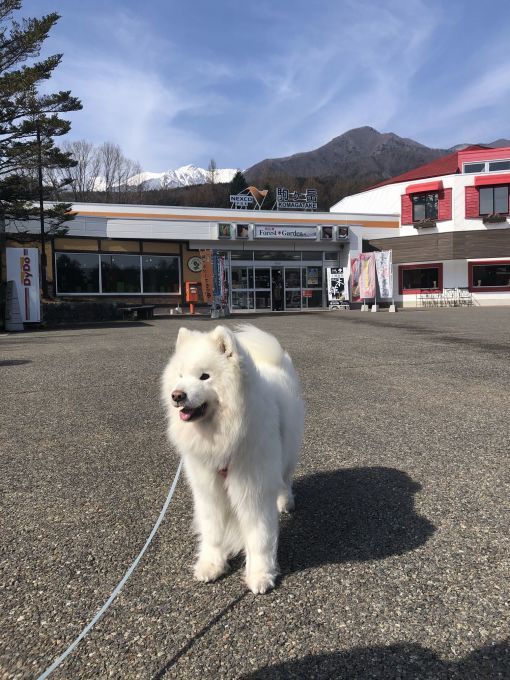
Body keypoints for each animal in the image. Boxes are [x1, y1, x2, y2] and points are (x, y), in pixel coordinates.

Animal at [162, 324, 302, 596]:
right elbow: (213, 532)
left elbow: (259, 537)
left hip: (287, 453)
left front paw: (260, 575)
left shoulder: (253, 490)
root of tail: (274, 361)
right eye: (181, 376)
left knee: (285, 479)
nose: (177, 395)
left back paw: (285, 502)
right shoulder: (208, 490)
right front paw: (211, 564)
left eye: (204, 376)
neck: (222, 438)